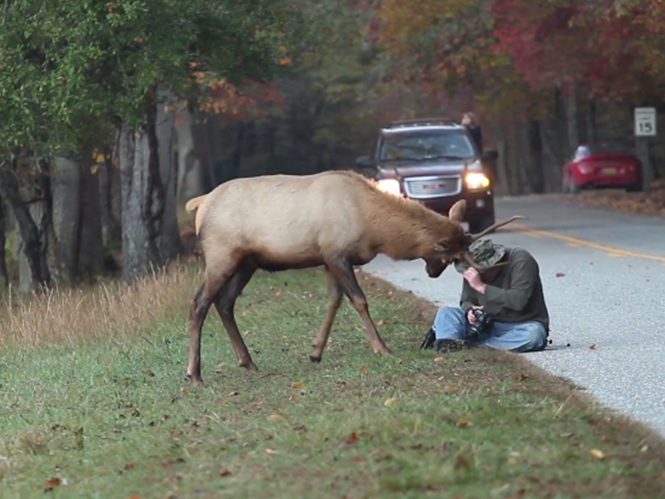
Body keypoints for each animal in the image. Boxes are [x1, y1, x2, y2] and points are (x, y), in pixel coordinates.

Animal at [184, 170, 520, 384]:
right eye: (450, 257)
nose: (432, 272)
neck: (375, 229)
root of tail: (198, 204)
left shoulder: (330, 259)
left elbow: (334, 301)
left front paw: (315, 352)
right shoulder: (336, 254)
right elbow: (358, 300)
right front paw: (381, 348)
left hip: (247, 263)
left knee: (225, 302)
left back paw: (247, 361)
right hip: (221, 255)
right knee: (199, 302)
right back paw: (195, 373)